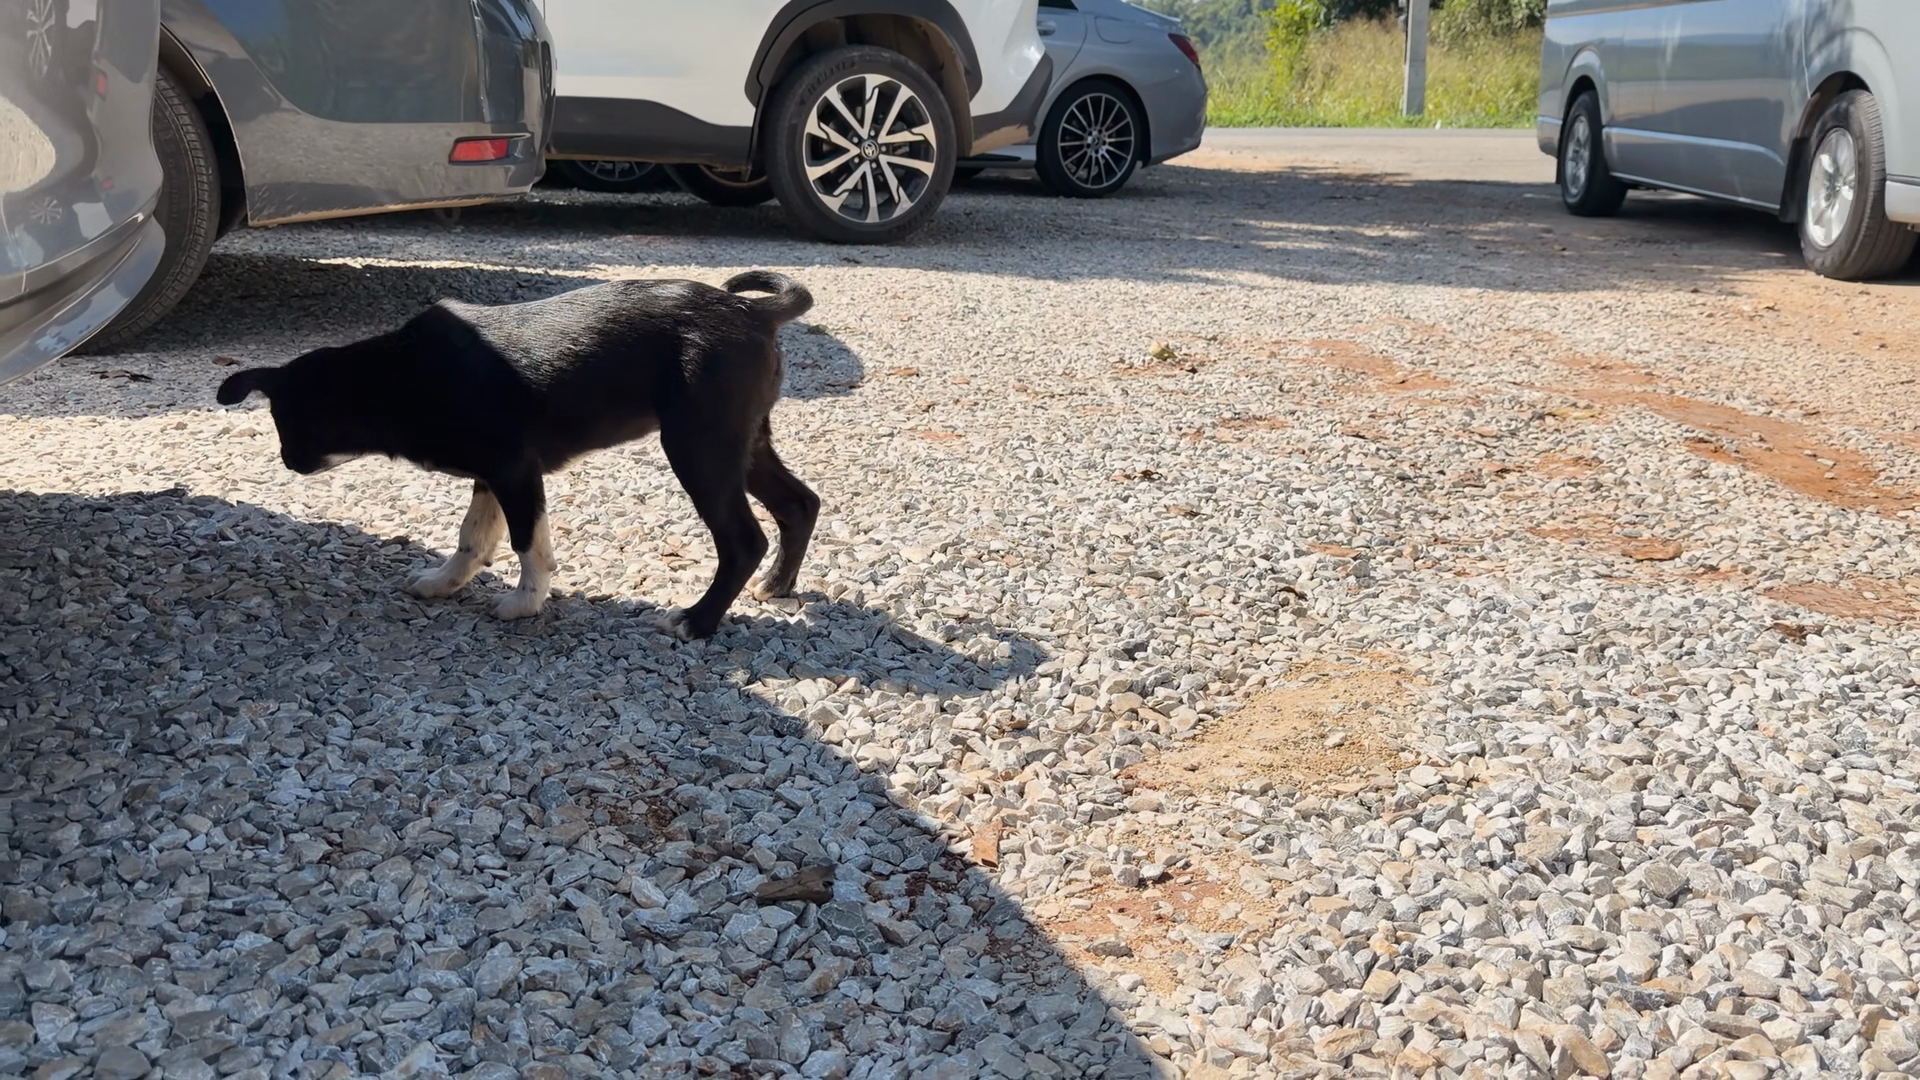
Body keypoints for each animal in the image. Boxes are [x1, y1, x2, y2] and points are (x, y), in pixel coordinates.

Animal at [216, 270, 821, 640]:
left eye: (287, 423)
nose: (287, 462)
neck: (400, 374)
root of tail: (752, 312)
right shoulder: (490, 476)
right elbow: (473, 537)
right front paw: (446, 582)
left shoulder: (515, 472)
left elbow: (529, 545)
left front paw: (525, 603)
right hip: (742, 442)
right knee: (800, 504)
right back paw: (777, 585)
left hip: (698, 446)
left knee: (744, 539)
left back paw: (698, 621)